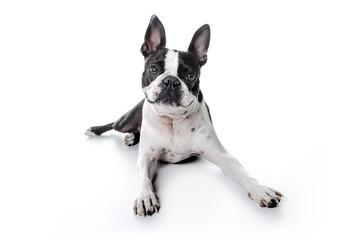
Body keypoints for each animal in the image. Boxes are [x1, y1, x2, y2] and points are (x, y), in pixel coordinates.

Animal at [86, 15, 282, 218]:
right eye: (154, 70)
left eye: (190, 75)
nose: (171, 81)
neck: (173, 119)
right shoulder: (146, 157)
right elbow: (144, 178)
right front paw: (145, 197)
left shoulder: (222, 156)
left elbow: (243, 173)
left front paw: (260, 190)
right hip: (126, 121)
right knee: (114, 124)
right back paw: (98, 130)